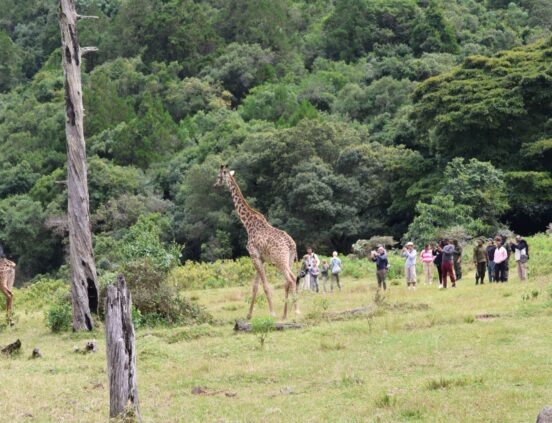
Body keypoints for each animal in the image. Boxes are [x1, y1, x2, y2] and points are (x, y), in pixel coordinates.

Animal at [213, 164, 300, 320]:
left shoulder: (254, 255)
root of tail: (292, 244)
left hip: (280, 260)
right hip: (289, 259)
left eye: (218, 176)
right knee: (290, 280)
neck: (248, 224)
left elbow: (264, 285)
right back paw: (285, 314)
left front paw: (272, 313)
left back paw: (295, 311)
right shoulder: (261, 258)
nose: (214, 185)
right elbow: (255, 286)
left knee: (290, 279)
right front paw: (248, 315)